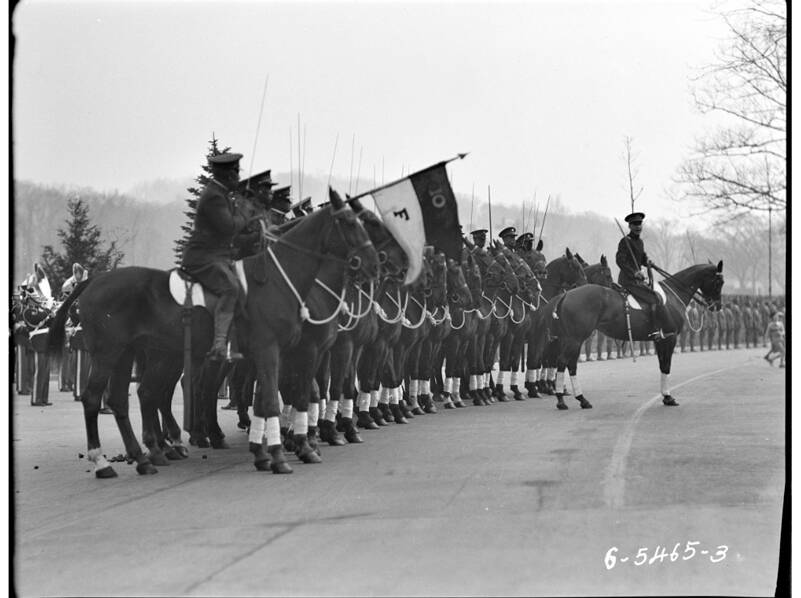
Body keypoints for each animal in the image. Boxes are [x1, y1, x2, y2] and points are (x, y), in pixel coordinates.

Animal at [48, 190, 380, 480]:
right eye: (350, 222)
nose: (374, 264)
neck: (280, 280)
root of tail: (94, 280)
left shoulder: (283, 354)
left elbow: (276, 399)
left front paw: (268, 453)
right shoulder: (278, 351)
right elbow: (280, 399)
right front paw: (283, 454)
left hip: (131, 354)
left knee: (125, 398)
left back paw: (145, 457)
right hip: (111, 354)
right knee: (98, 398)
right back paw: (106, 461)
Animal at [536, 264, 720, 412]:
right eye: (718, 282)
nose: (716, 306)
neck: (672, 296)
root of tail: (566, 295)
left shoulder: (660, 340)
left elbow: (662, 365)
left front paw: (665, 396)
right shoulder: (669, 338)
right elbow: (666, 366)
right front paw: (668, 397)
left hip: (570, 339)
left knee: (569, 364)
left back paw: (581, 399)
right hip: (575, 339)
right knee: (563, 362)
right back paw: (562, 399)